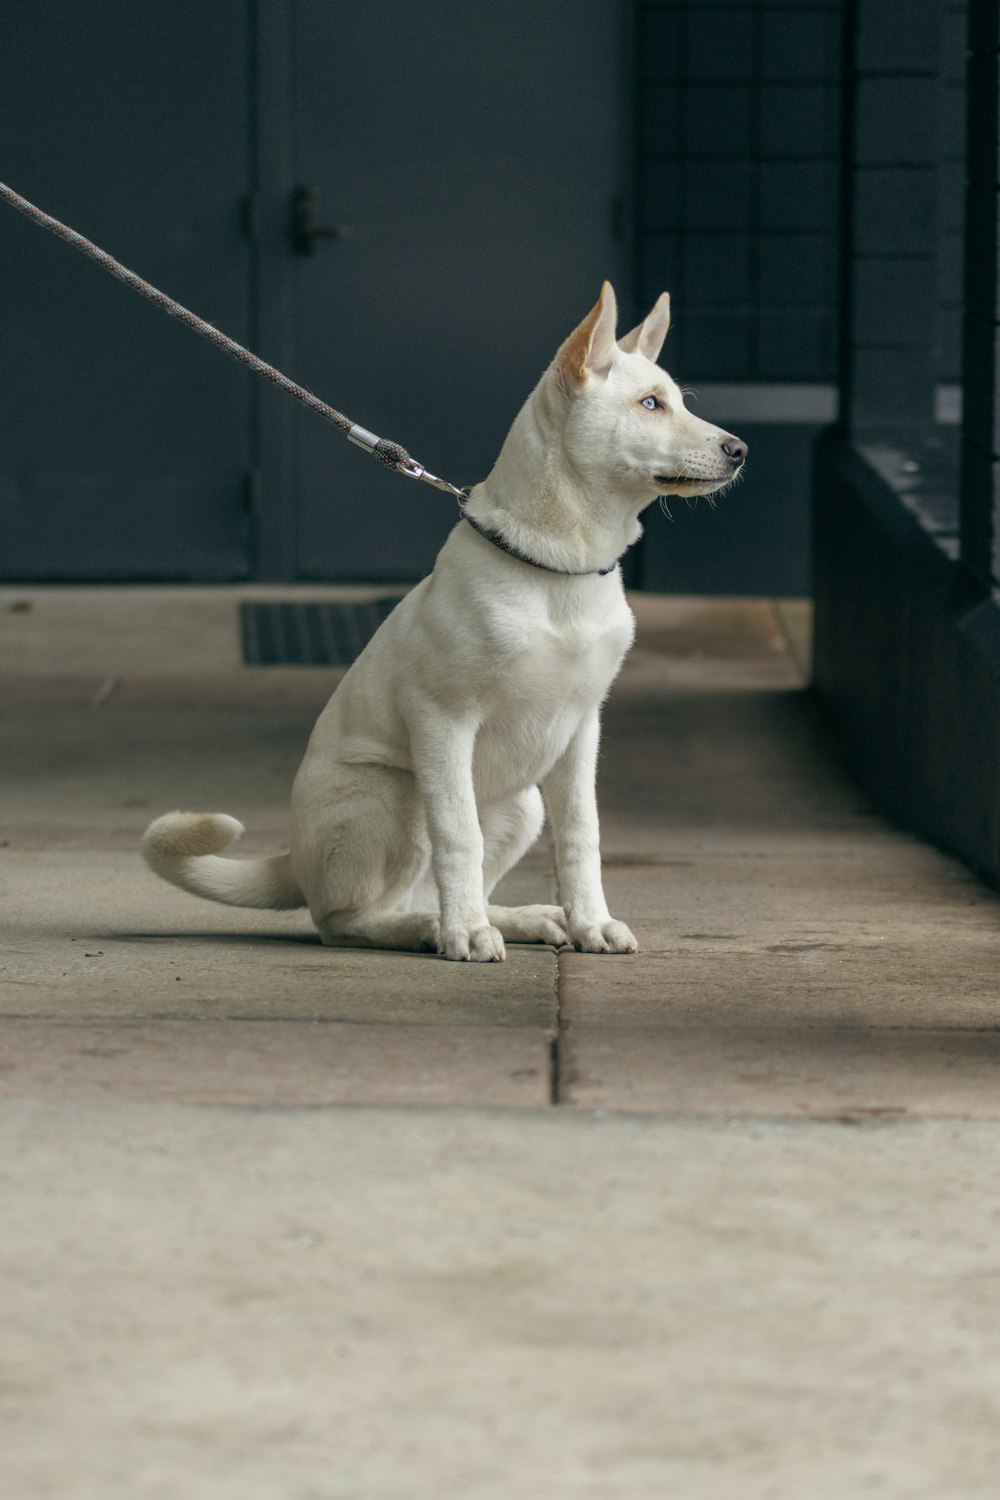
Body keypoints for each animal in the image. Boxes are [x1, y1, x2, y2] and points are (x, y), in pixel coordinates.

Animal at [144, 283, 746, 960]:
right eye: (650, 404)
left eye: (675, 400)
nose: (740, 451)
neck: (558, 567)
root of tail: (294, 859)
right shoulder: (442, 719)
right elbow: (459, 836)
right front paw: (466, 936)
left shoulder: (580, 729)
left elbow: (582, 834)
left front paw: (591, 922)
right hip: (400, 794)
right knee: (349, 917)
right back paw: (439, 927)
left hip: (521, 806)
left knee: (428, 891)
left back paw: (515, 918)